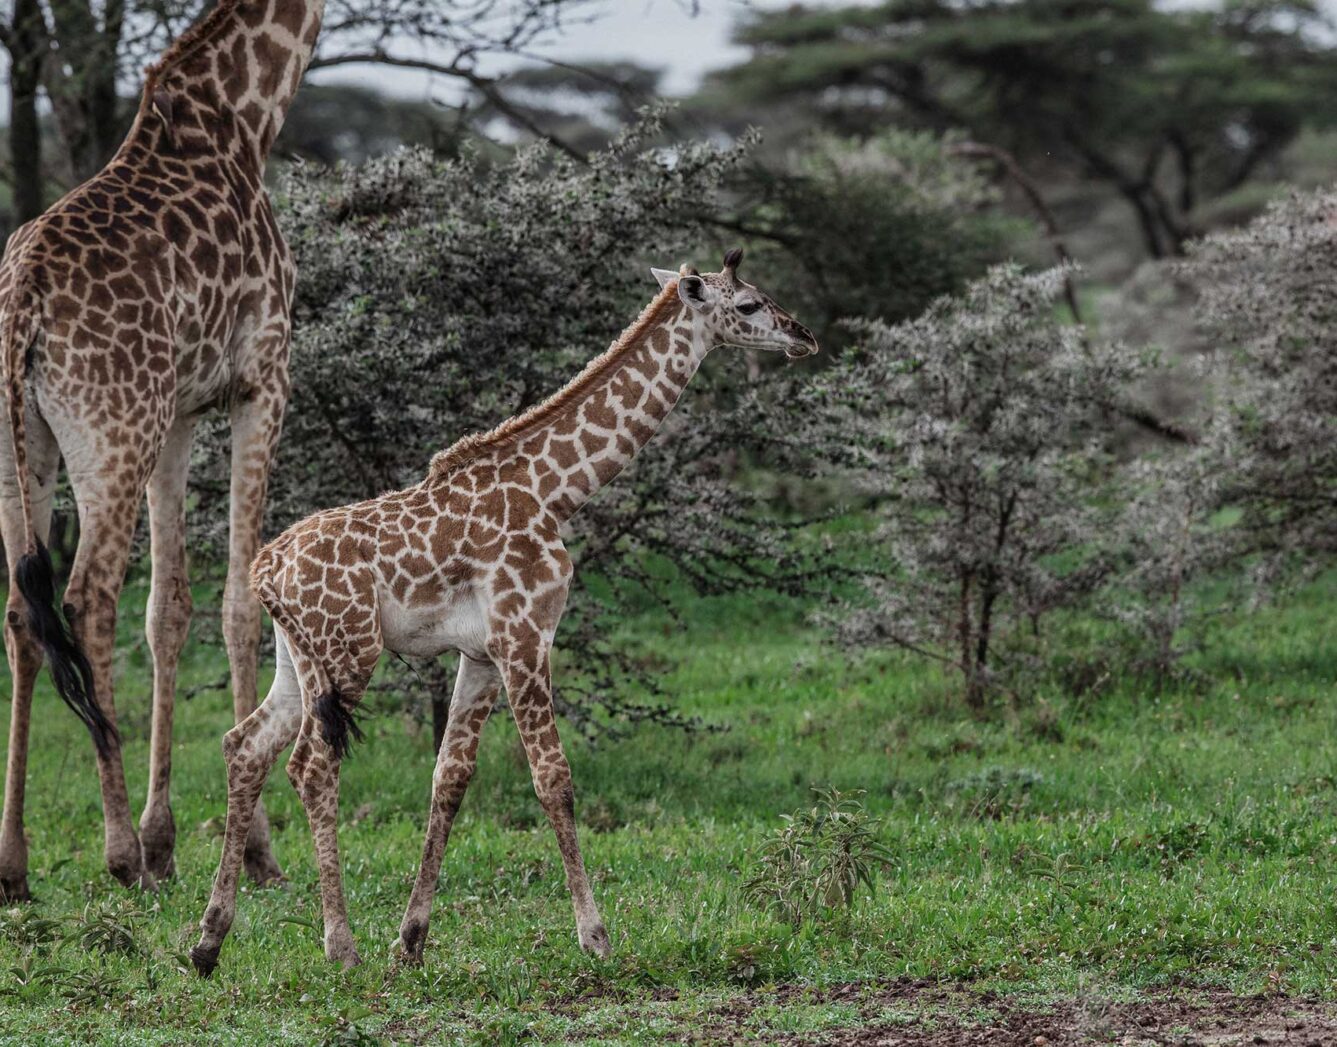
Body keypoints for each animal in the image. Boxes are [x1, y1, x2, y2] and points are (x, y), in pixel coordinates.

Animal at [0, 0, 326, 898]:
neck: (245, 116)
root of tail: (22, 301)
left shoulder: (178, 412)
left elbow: (171, 608)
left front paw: (167, 837)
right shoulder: (262, 379)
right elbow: (241, 599)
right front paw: (253, 851)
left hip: (30, 446)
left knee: (21, 609)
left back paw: (14, 864)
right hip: (113, 431)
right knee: (84, 598)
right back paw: (115, 853)